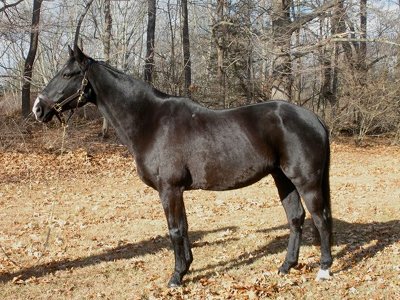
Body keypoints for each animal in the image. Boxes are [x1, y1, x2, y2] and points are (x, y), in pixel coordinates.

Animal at [32, 45, 332, 288]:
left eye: (68, 74)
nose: (38, 108)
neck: (151, 121)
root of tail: (314, 118)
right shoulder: (177, 191)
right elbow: (184, 227)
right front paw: (186, 267)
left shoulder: (169, 189)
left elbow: (175, 230)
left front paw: (176, 277)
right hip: (283, 179)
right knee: (296, 218)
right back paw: (286, 266)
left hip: (306, 181)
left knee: (320, 218)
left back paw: (324, 269)